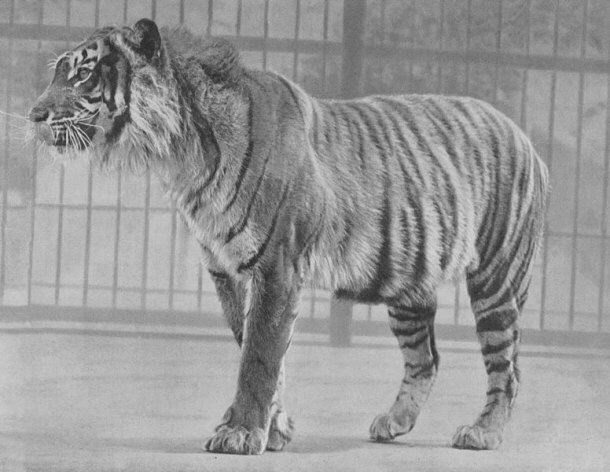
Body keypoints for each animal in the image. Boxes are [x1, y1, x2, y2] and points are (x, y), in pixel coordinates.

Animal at [28, 20, 548, 456]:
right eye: (58, 73)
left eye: (83, 75)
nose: (33, 115)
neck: (180, 153)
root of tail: (524, 136)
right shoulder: (226, 271)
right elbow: (260, 351)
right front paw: (274, 430)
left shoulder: (275, 265)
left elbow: (259, 356)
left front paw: (240, 433)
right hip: (408, 286)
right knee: (427, 358)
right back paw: (393, 423)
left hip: (496, 280)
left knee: (509, 366)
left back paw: (483, 432)